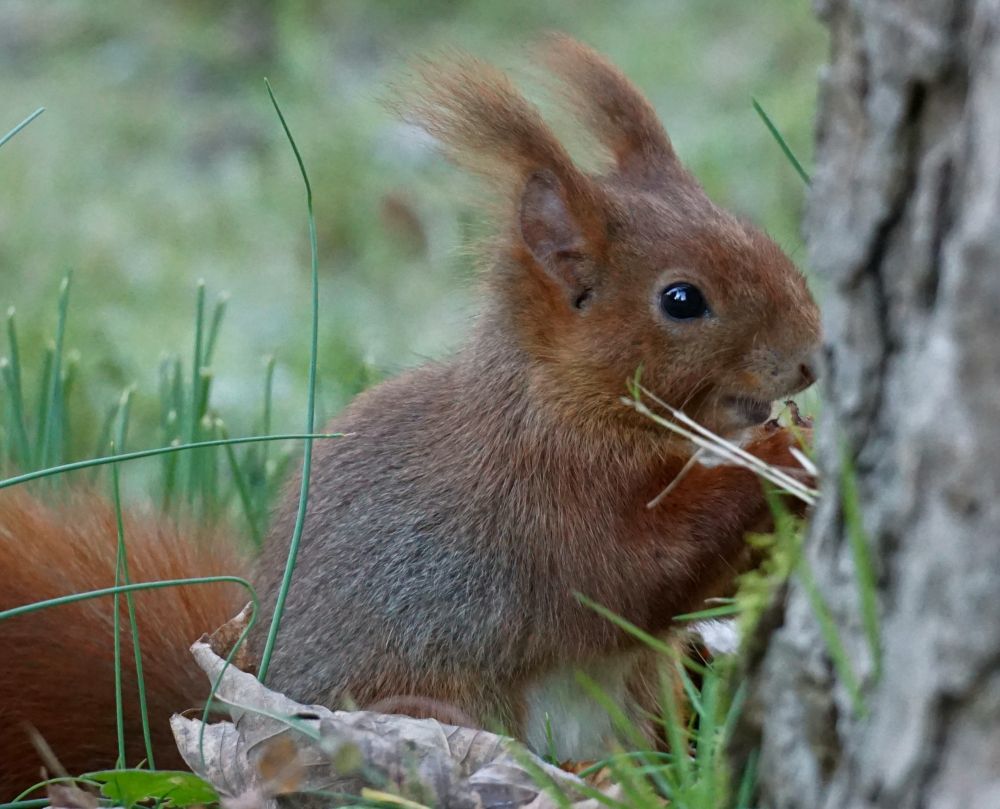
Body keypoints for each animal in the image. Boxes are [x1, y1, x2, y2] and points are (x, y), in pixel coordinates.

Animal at [0, 35, 819, 795]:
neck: (563, 400)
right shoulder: (540, 498)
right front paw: (780, 462)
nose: (812, 356)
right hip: (422, 706)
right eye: (682, 300)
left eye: (756, 233)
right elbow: (632, 572)